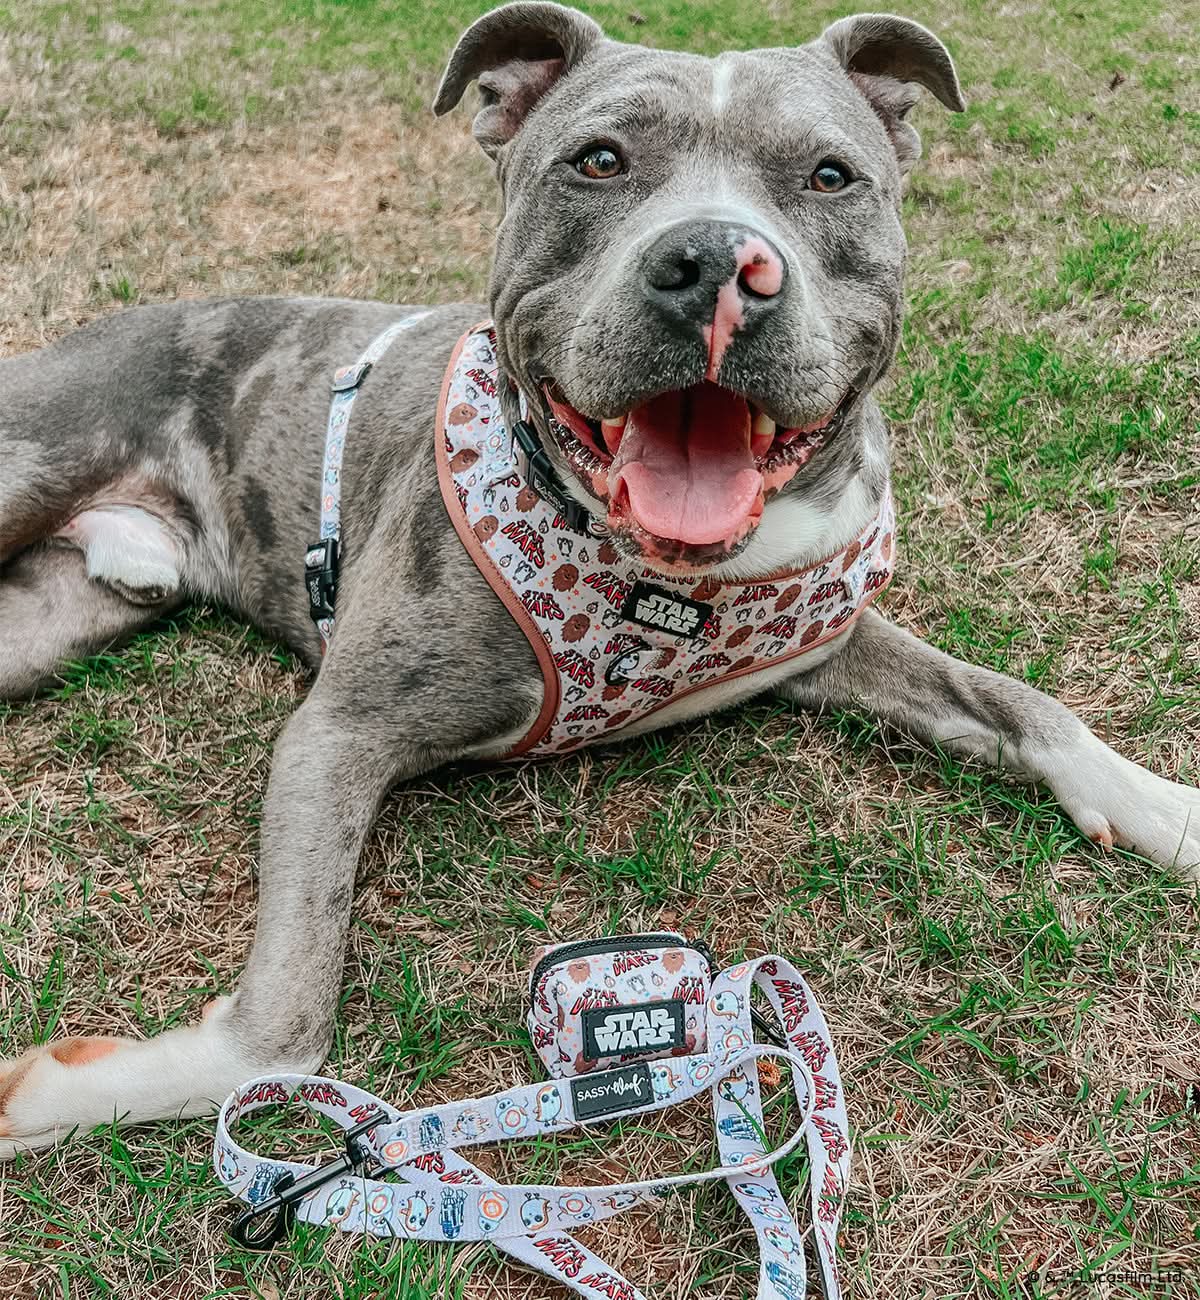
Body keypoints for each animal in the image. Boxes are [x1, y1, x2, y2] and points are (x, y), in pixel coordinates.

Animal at [1, 2, 1197, 1157]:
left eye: (829, 175)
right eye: (600, 160)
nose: (715, 262)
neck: (664, 582)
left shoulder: (827, 635)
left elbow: (1020, 702)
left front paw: (1162, 808)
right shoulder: (337, 734)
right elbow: (279, 1031)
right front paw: (85, 1093)